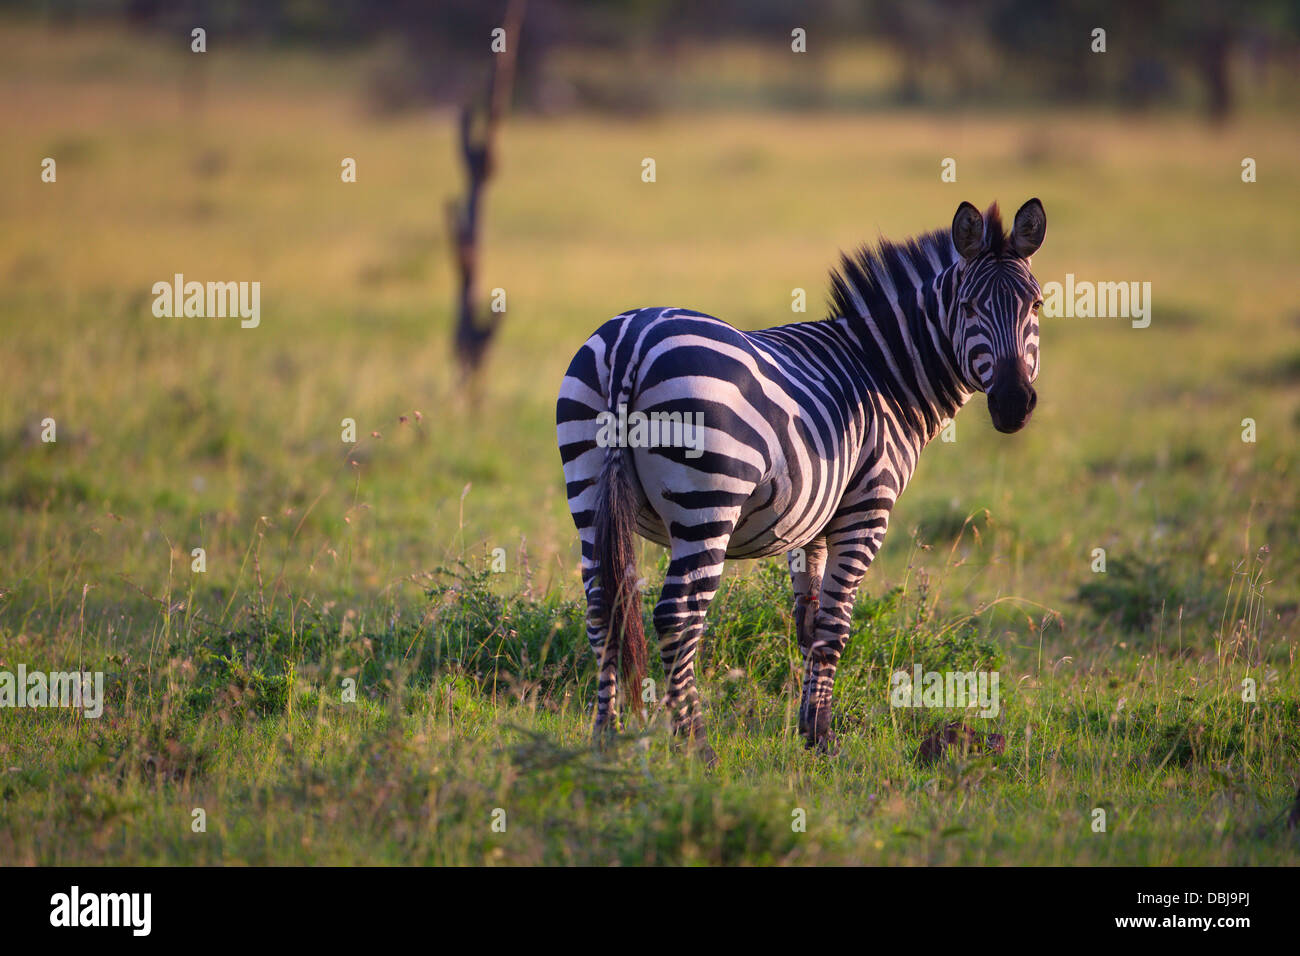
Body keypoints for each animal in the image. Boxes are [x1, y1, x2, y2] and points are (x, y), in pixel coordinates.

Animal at [556, 197, 1045, 759]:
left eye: (1036, 306)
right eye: (967, 309)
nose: (1013, 404)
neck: (883, 373)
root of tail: (631, 342)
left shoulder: (809, 522)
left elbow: (808, 622)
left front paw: (808, 726)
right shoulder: (866, 508)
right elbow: (835, 623)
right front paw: (823, 736)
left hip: (588, 493)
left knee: (602, 609)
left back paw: (604, 737)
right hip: (708, 502)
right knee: (676, 614)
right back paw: (696, 744)